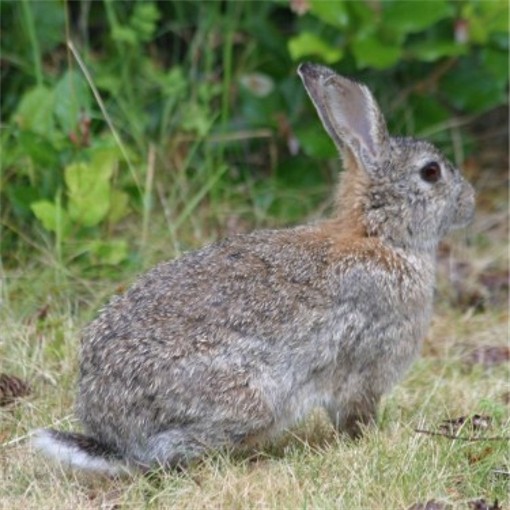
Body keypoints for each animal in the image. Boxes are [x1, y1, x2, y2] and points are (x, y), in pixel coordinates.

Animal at [33, 62, 476, 474]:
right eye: (431, 172)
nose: (470, 201)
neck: (379, 236)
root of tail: (111, 433)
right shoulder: (365, 365)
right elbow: (354, 413)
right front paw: (370, 439)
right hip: (250, 398)